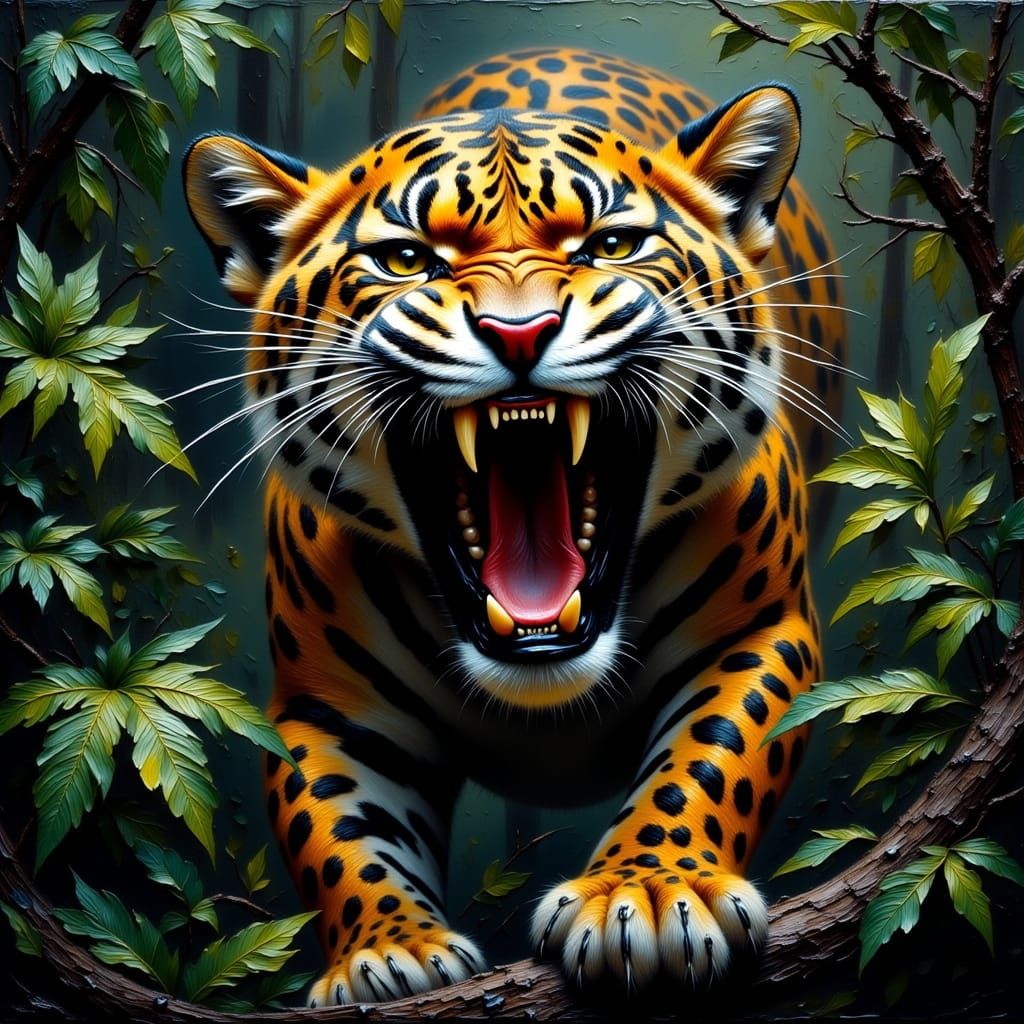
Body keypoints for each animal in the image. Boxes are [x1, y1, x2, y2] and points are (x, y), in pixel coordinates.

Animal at [182, 46, 843, 1006]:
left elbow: (705, 764)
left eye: (611, 246)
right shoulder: (327, 708)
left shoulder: (760, 635)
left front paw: (648, 895)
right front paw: (389, 953)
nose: (520, 331)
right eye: (407, 260)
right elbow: (340, 836)